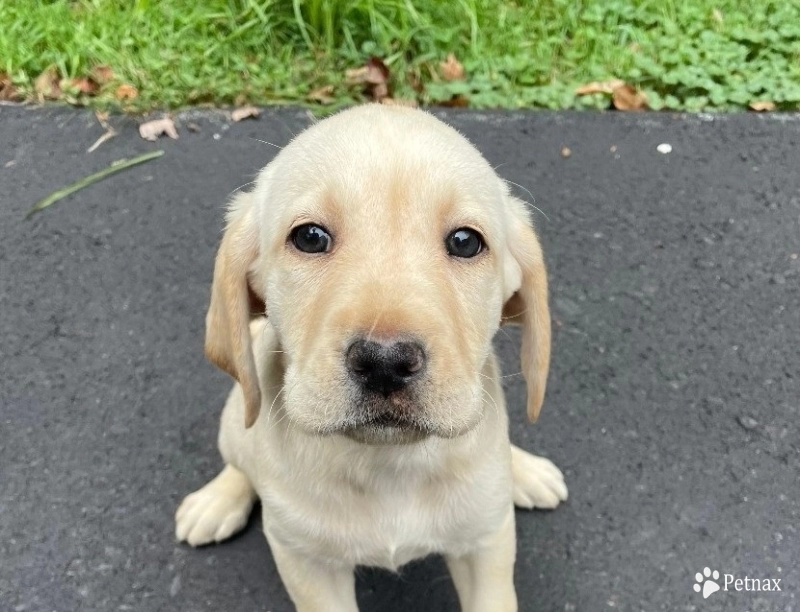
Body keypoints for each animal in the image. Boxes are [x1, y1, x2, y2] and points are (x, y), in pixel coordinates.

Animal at [177, 106, 564, 612]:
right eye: (310, 237)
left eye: (465, 242)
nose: (385, 362)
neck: (387, 464)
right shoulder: (307, 563)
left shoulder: (487, 547)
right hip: (235, 422)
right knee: (240, 459)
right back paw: (217, 499)